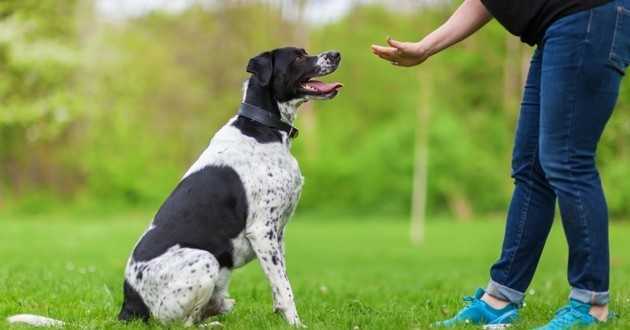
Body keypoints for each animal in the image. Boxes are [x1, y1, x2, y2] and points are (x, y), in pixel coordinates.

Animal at [6, 47, 340, 328]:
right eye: (299, 56)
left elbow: (278, 285)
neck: (263, 129)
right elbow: (285, 288)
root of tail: (128, 306)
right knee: (180, 323)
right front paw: (296, 324)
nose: (336, 54)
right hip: (204, 261)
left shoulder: (276, 235)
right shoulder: (262, 231)